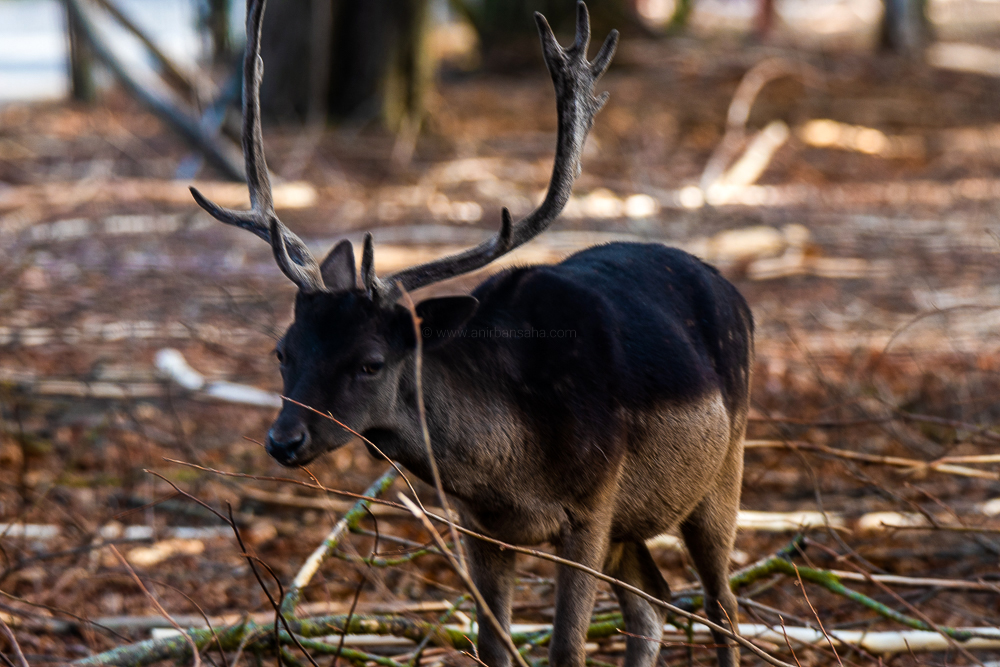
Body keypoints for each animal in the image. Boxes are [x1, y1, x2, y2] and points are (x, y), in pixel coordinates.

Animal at [189, 1, 752, 667]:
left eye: (371, 361)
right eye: (282, 351)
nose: (283, 439)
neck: (511, 470)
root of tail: (733, 291)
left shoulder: (591, 508)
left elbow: (567, 650)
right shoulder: (478, 527)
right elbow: (493, 647)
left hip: (723, 468)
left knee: (721, 606)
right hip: (635, 521)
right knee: (653, 603)